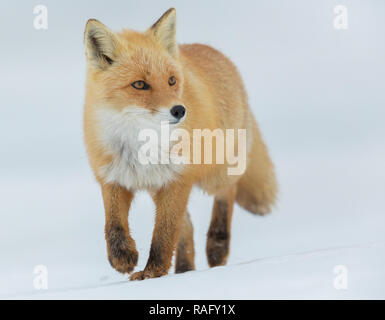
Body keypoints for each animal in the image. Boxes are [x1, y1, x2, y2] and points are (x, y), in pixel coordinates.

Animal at [83, 7, 276, 280]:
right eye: (139, 84)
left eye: (172, 81)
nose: (179, 110)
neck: (140, 145)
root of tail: (215, 52)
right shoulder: (112, 178)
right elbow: (114, 226)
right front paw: (122, 258)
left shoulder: (178, 179)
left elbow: (163, 235)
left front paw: (152, 273)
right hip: (158, 189)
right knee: (187, 225)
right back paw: (185, 270)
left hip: (214, 175)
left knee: (228, 192)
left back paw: (217, 245)